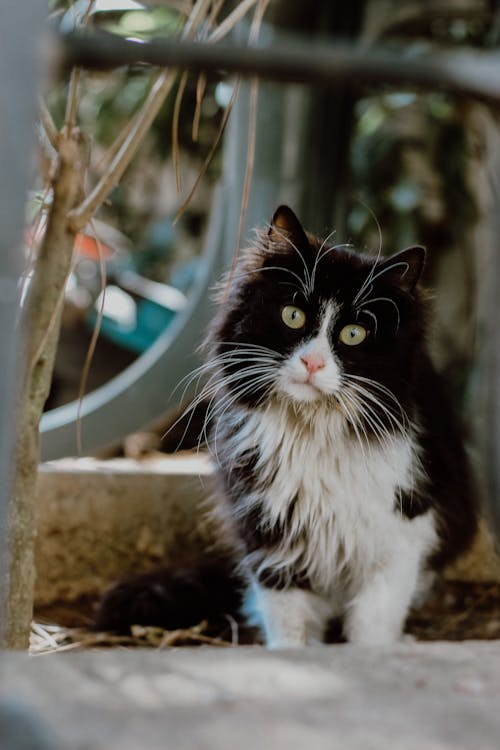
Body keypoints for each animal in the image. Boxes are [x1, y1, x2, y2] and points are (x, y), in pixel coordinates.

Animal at [95, 206, 478, 648]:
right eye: (293, 316)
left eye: (354, 334)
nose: (312, 362)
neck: (313, 433)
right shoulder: (270, 529)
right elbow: (288, 617)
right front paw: (292, 656)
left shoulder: (400, 533)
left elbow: (373, 620)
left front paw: (371, 654)